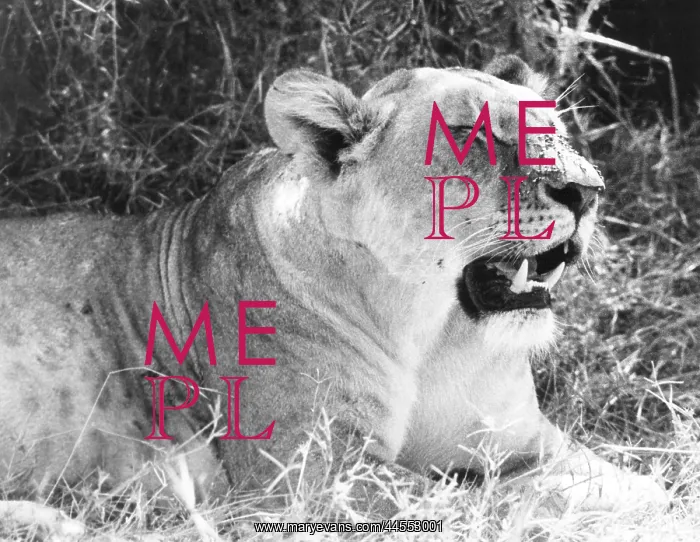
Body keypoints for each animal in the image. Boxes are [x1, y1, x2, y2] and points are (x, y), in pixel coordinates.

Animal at [0, 56, 667, 532]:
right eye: (467, 134)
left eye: (553, 128)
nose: (587, 189)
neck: (433, 333)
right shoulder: (312, 472)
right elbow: (474, 510)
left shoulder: (528, 444)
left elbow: (636, 487)